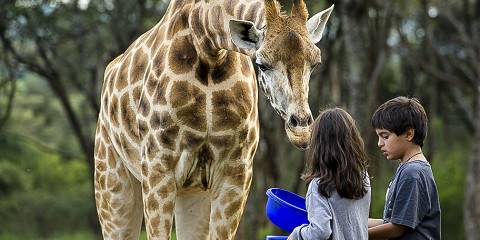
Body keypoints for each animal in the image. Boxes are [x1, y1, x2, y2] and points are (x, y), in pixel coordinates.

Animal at [94, 0, 334, 238]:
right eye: (262, 64)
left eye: (315, 63)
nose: (301, 130)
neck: (208, 48)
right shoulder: (158, 165)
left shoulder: (237, 171)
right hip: (111, 183)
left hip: (191, 193)